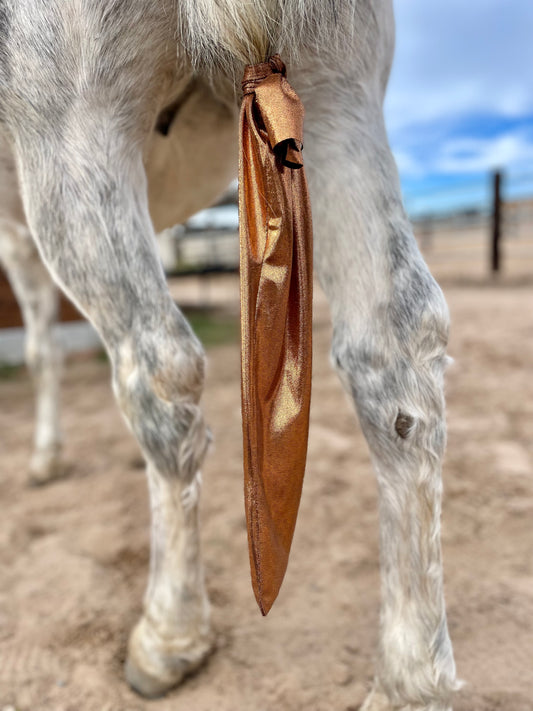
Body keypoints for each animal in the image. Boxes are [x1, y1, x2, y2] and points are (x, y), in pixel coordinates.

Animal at [0, 2, 458, 708]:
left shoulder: (17, 227)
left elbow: (44, 347)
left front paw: (46, 456)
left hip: (71, 128)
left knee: (158, 373)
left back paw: (169, 631)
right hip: (339, 90)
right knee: (395, 356)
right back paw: (413, 679)